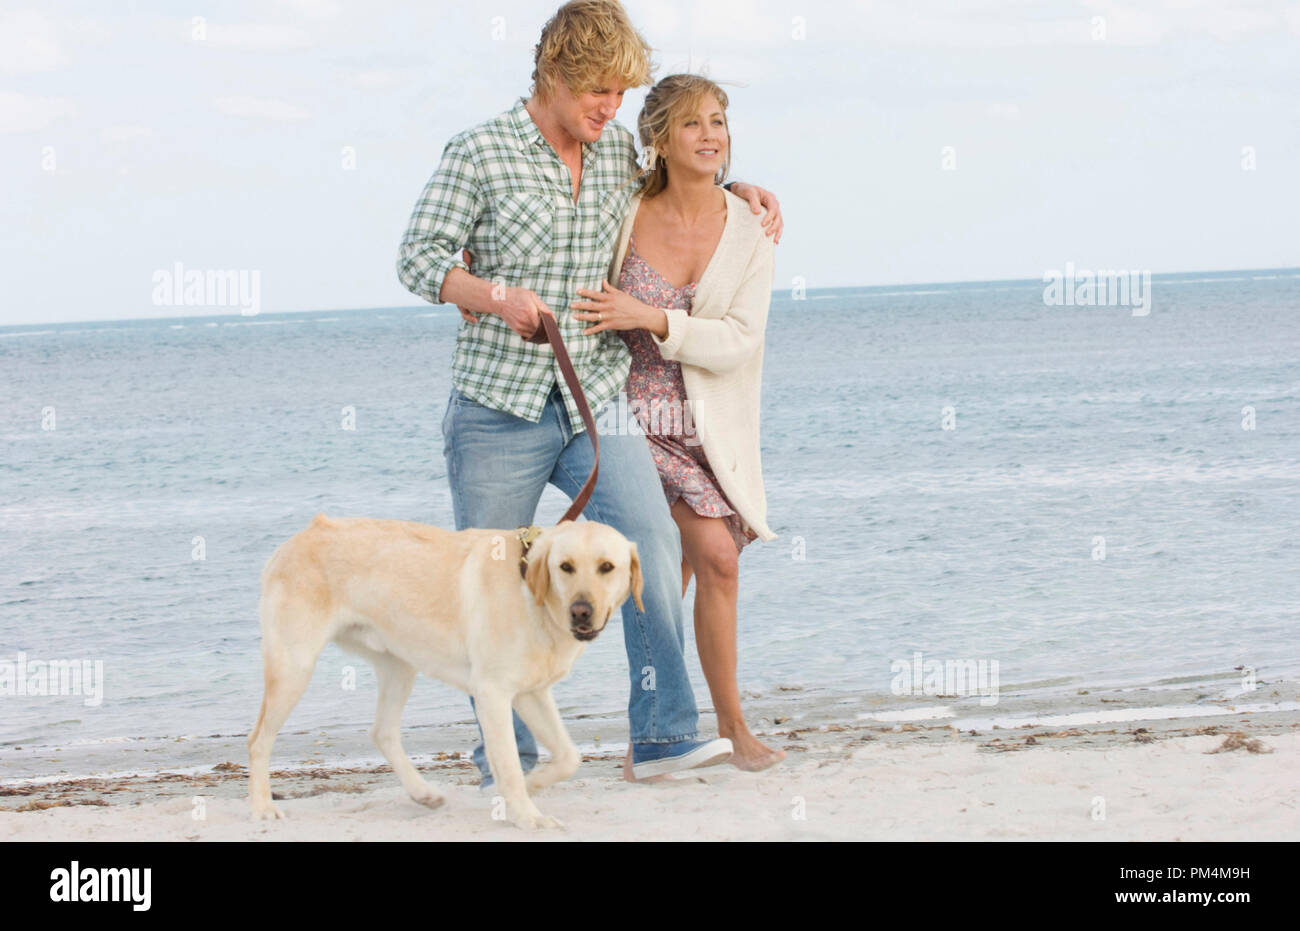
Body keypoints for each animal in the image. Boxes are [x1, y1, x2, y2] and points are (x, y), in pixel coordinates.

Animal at [245, 517, 642, 826]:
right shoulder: (493, 695)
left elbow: (568, 757)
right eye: (566, 567)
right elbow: (510, 765)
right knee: (258, 740)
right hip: (294, 667)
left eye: (607, 567)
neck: (530, 591)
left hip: (399, 666)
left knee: (382, 732)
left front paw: (530, 788)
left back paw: (423, 793)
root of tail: (302, 535)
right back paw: (262, 807)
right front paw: (527, 815)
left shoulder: (531, 694)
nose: (581, 612)